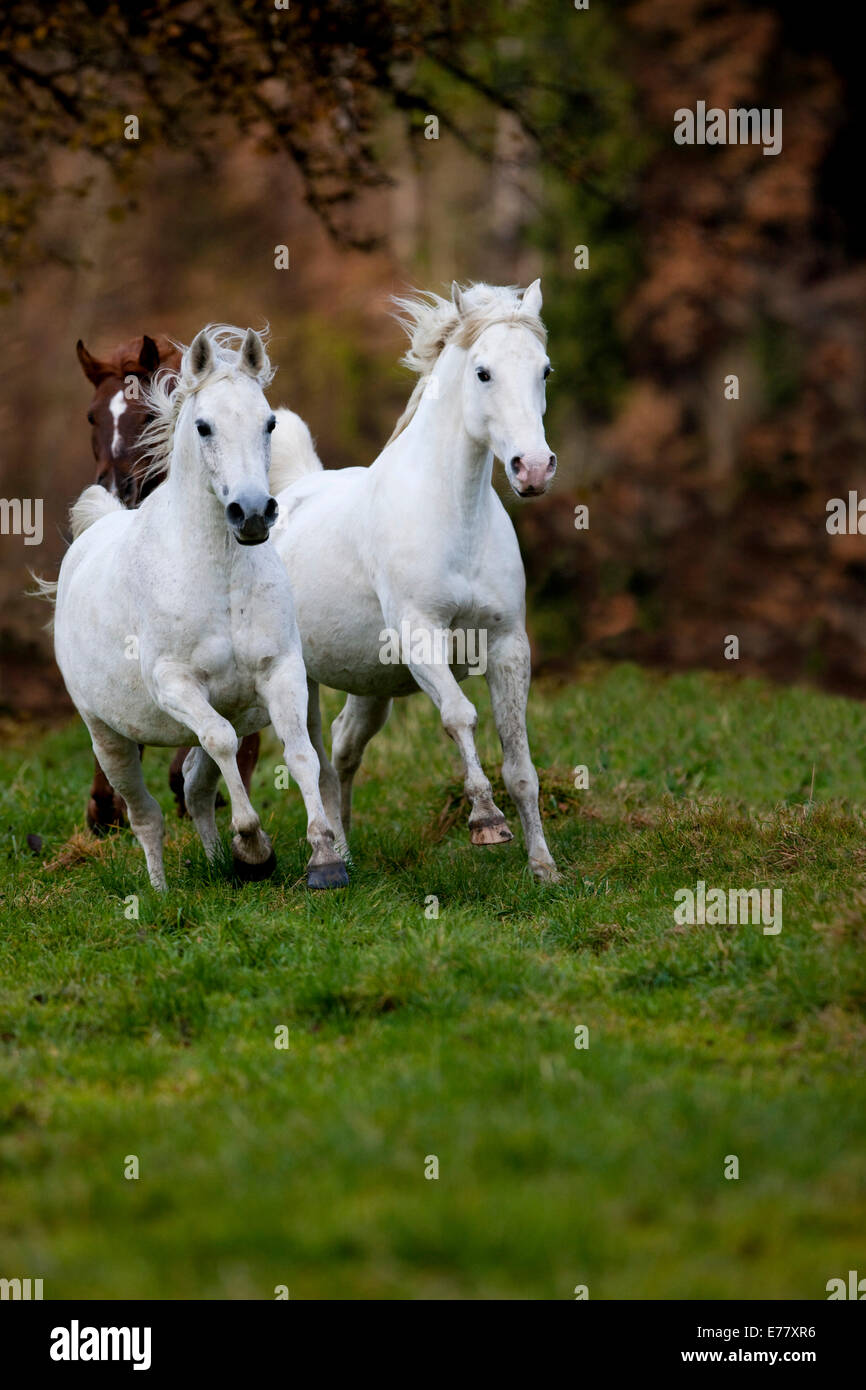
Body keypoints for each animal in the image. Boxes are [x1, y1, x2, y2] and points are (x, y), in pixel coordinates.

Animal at [271, 280, 561, 878]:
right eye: (483, 372)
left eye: (544, 370)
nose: (533, 468)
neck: (457, 517)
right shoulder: (421, 635)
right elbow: (460, 716)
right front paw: (486, 823)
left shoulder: (507, 645)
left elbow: (519, 759)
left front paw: (544, 867)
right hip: (298, 679)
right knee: (312, 757)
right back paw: (324, 859)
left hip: (370, 681)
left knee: (342, 747)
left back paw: (346, 852)